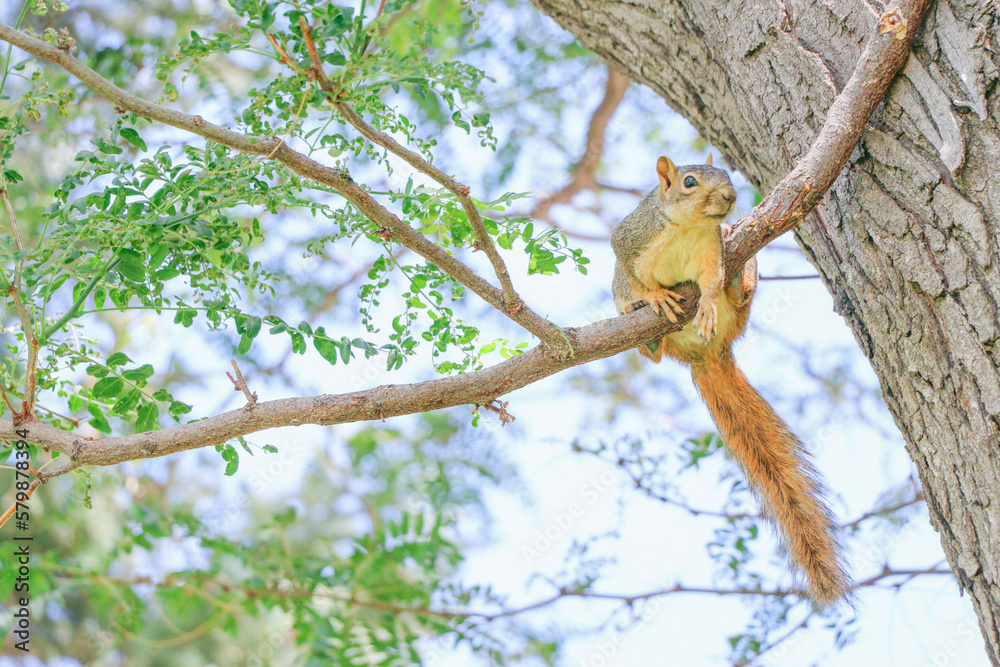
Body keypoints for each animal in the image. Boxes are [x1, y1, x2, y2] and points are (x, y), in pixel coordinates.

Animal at [611, 154, 852, 607]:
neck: (689, 228)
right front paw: (653, 296)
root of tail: (704, 356)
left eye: (726, 174)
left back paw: (740, 282)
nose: (729, 197)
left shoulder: (711, 254)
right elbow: (634, 275)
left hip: (739, 301)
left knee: (738, 294)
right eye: (689, 182)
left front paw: (706, 302)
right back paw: (647, 340)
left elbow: (709, 281)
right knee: (646, 340)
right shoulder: (631, 238)